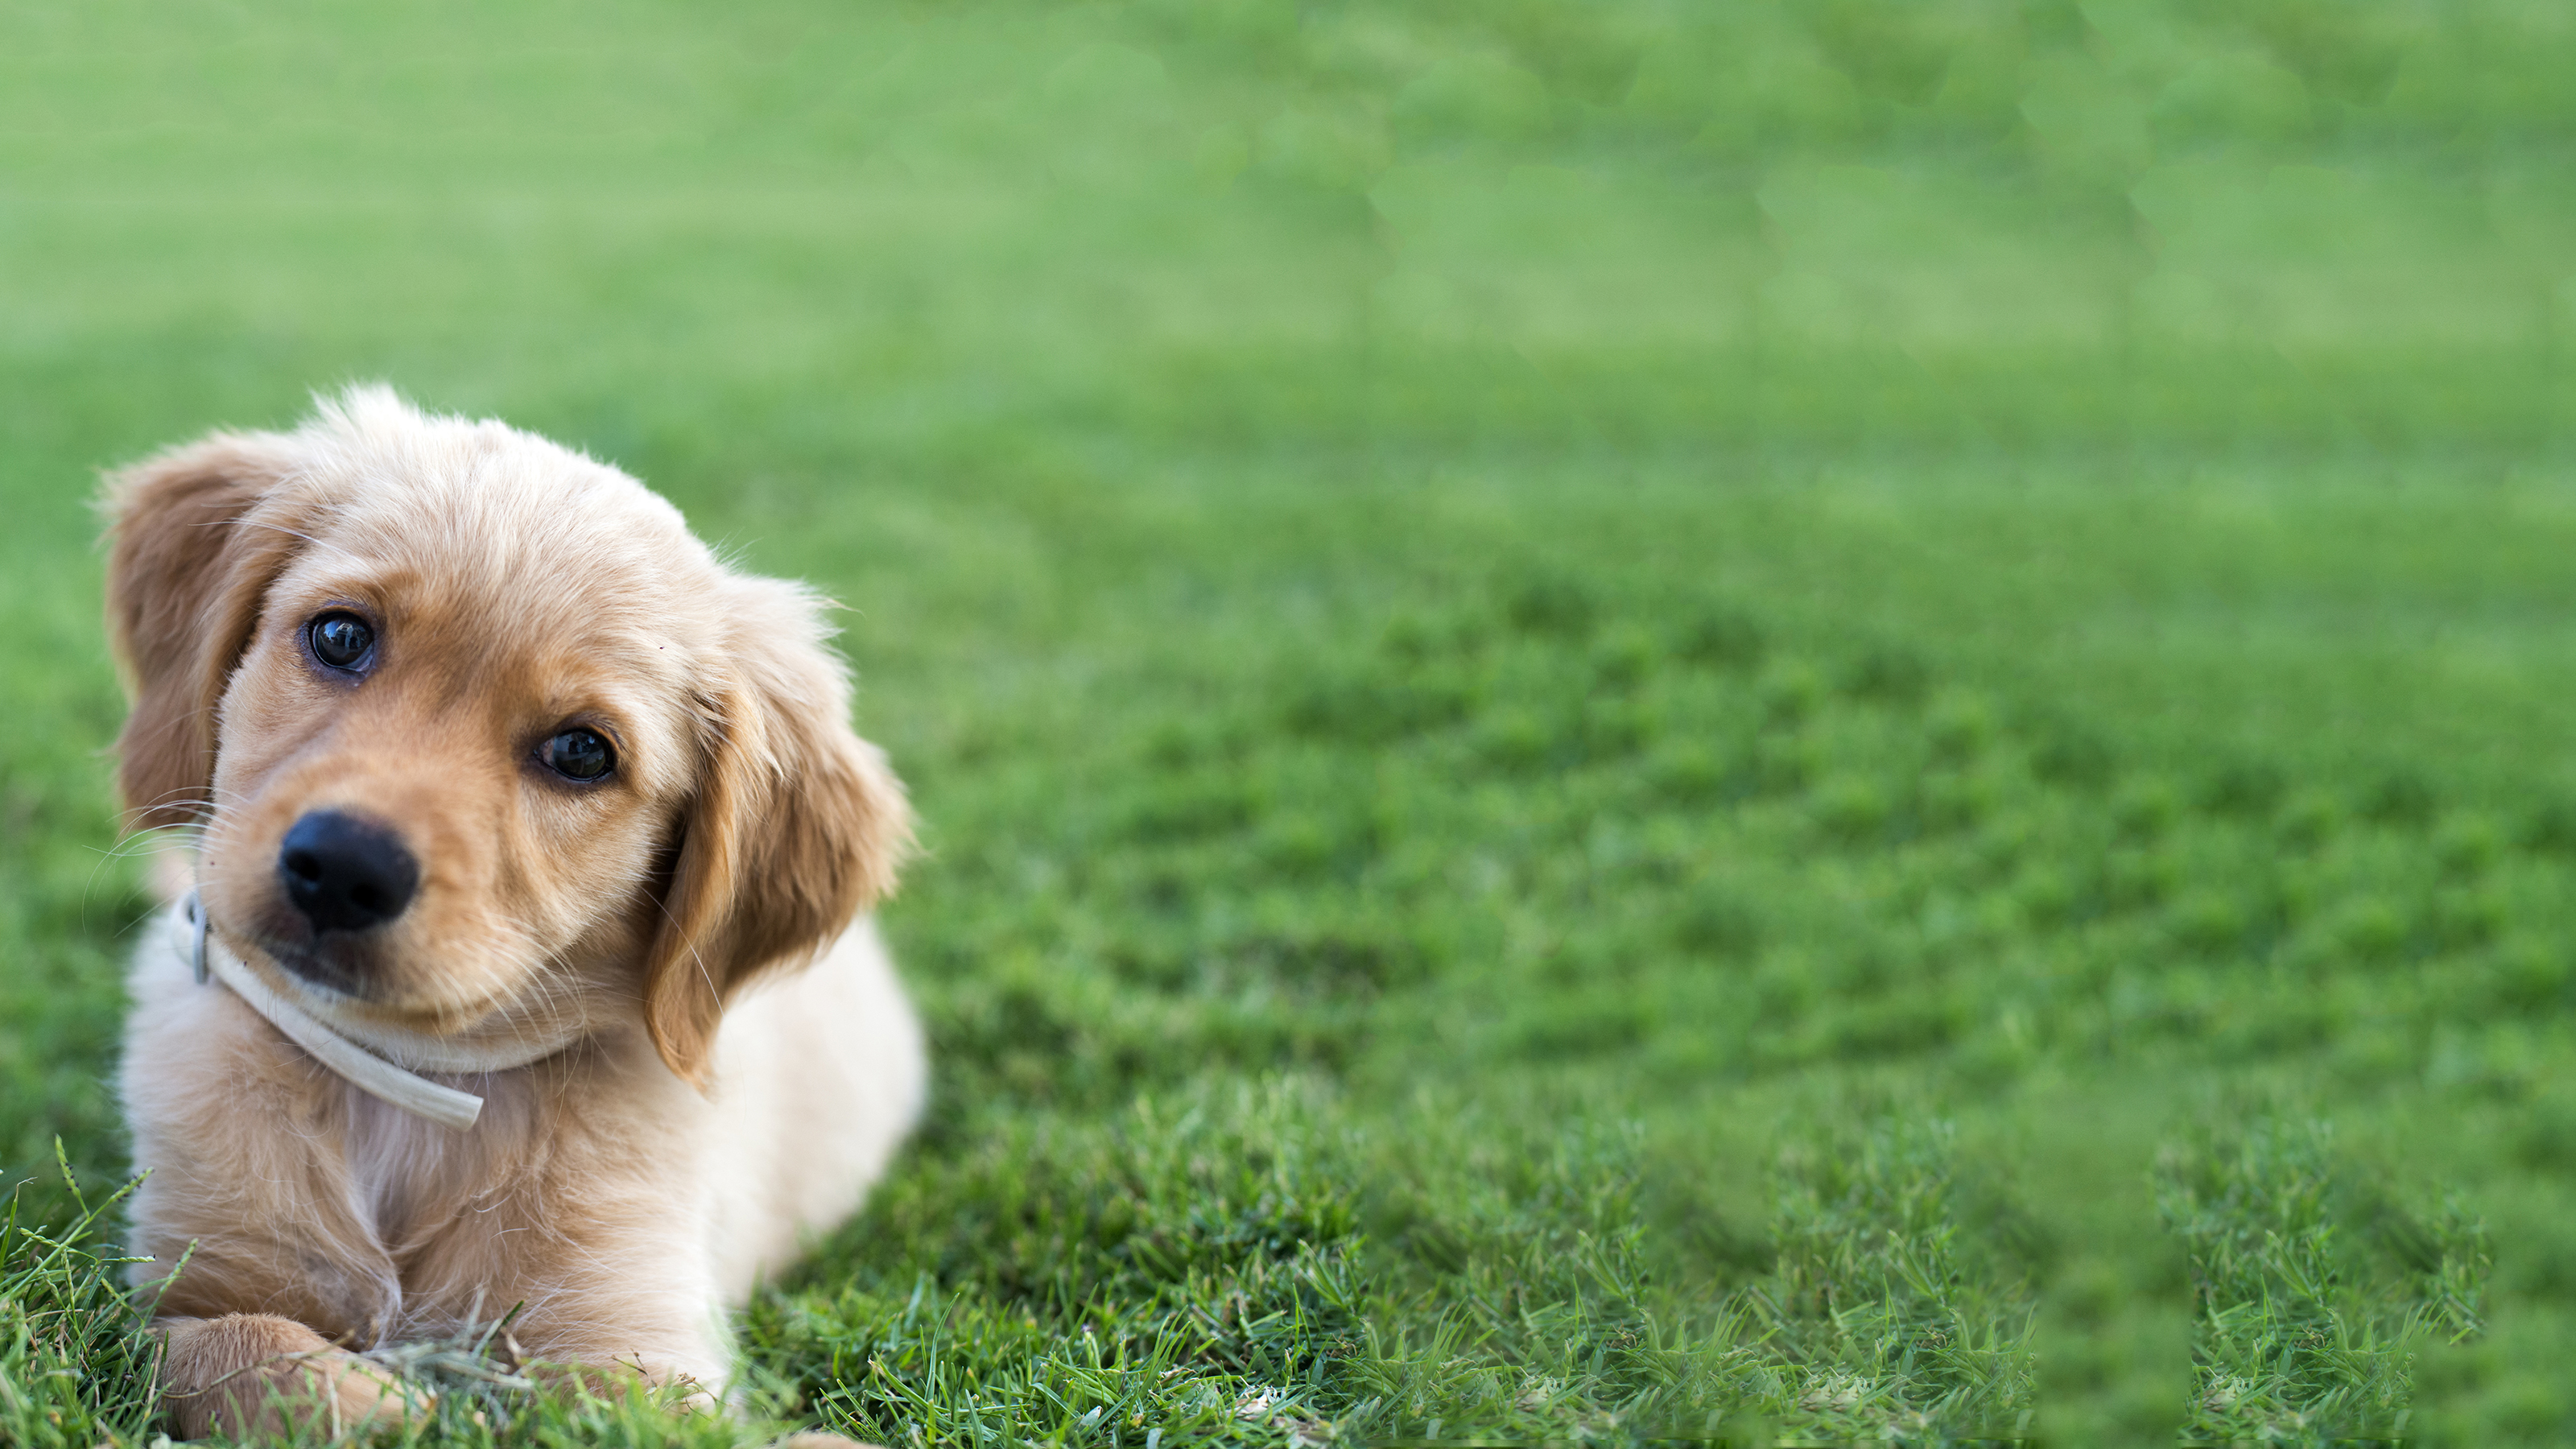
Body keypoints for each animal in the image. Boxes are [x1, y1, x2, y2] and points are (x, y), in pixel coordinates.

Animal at [103, 386, 927, 1433]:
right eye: (339, 637)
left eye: (581, 753)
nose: (342, 868)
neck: (404, 1084)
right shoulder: (180, 1290)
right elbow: (238, 1352)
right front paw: (395, 1404)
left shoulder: (637, 1351)